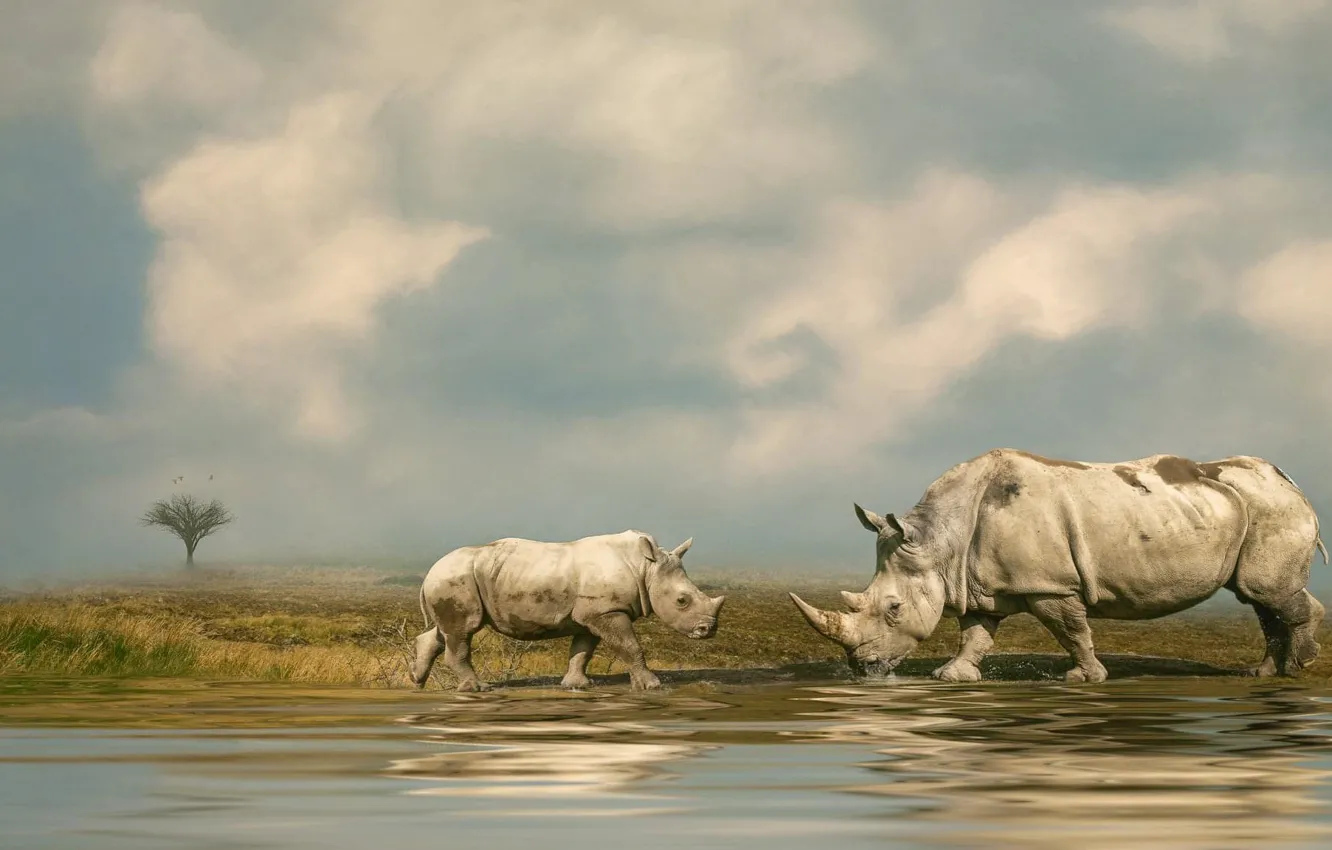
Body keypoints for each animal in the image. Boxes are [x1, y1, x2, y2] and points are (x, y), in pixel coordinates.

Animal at [411, 531, 725, 691]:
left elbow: (583, 650)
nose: (708, 630)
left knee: (445, 632)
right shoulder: (607, 610)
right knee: (462, 630)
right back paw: (479, 688)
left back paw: (417, 680)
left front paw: (578, 685)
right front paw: (651, 686)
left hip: (455, 579)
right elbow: (630, 646)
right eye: (682, 601)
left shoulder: (593, 612)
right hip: (455, 579)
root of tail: (428, 573)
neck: (645, 568)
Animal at [790, 449, 1328, 684]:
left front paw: (1084, 679)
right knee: (1258, 598)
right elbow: (976, 634)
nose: (862, 669)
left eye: (894, 610)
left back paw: (1301, 664)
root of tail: (1292, 483)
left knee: (1267, 591)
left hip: (1272, 508)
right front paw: (952, 677)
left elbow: (1070, 631)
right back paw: (1261, 674)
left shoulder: (1050, 585)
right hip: (1254, 507)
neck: (940, 540)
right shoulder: (977, 583)